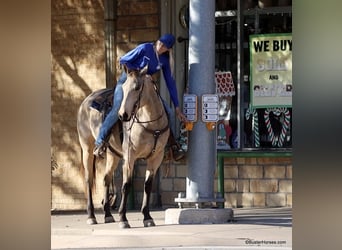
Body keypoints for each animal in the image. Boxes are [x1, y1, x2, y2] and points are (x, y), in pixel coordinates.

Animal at [76, 65, 170, 229]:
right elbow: (126, 185)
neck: (151, 124)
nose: (123, 115)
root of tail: (86, 101)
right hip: (87, 149)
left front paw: (147, 217)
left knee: (106, 179)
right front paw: (123, 218)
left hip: (112, 155)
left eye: (137, 87)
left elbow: (148, 185)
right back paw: (91, 216)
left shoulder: (156, 157)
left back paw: (108, 215)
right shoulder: (129, 156)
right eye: (123, 88)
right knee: (89, 180)